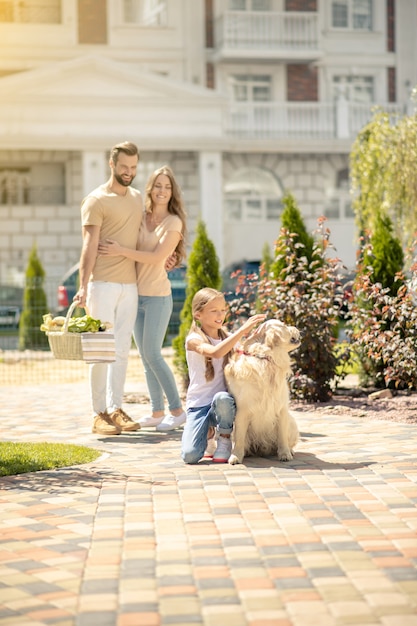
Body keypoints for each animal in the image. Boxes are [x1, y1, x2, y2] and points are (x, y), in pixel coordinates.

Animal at [224, 322, 300, 464]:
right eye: (283, 325)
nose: (296, 328)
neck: (266, 359)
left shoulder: (282, 408)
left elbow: (282, 436)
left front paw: (285, 453)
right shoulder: (242, 411)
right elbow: (239, 438)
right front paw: (235, 456)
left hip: (292, 422)